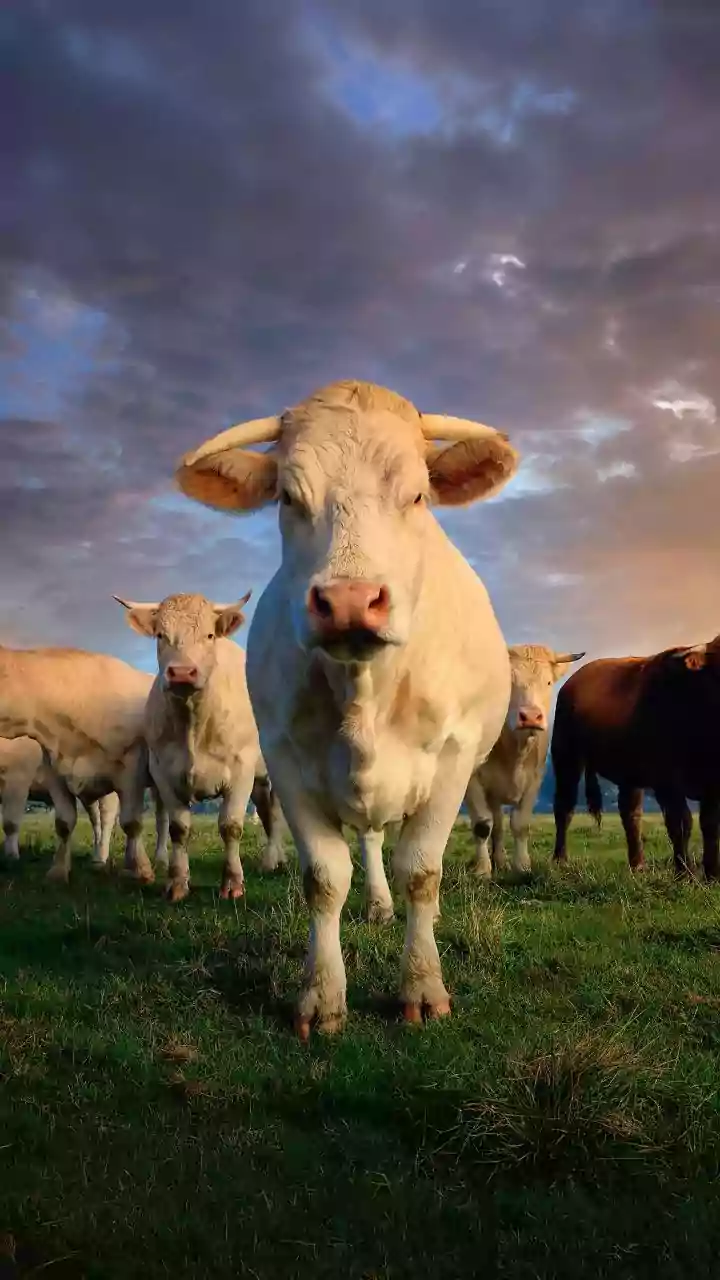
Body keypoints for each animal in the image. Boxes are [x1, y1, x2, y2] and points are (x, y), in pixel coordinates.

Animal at [0, 736, 121, 865]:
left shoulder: (18, 777)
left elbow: (10, 824)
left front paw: (11, 857)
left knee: (106, 818)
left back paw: (100, 859)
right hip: (88, 791)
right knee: (96, 819)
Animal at [114, 591, 287, 901]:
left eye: (209, 635)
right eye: (161, 635)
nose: (182, 672)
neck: (193, 723)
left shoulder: (241, 770)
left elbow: (231, 826)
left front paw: (233, 883)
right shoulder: (163, 771)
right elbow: (178, 829)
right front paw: (177, 883)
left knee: (276, 813)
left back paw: (272, 860)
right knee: (267, 812)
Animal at [175, 378, 519, 1036]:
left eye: (418, 494)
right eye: (287, 496)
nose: (351, 601)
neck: (365, 692)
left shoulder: (453, 762)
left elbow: (422, 872)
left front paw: (423, 985)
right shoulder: (286, 760)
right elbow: (325, 878)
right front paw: (321, 996)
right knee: (370, 841)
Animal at [465, 646, 585, 878]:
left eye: (548, 682)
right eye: (508, 683)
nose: (530, 716)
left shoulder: (534, 780)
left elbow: (520, 824)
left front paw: (521, 866)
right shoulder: (472, 781)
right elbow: (482, 825)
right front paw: (482, 870)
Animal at [551, 637, 720, 878]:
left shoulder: (713, 783)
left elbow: (710, 825)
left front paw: (712, 874)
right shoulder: (666, 782)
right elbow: (681, 824)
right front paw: (684, 872)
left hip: (628, 773)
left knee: (630, 813)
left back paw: (638, 864)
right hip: (566, 758)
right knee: (564, 807)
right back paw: (560, 859)